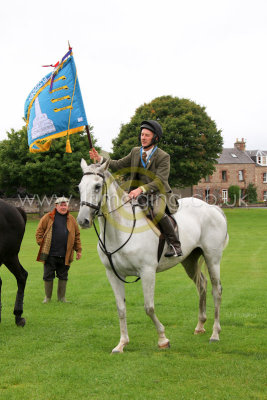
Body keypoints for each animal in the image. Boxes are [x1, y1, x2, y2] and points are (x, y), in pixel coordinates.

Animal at [76, 159, 229, 354]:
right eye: (80, 187)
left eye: (97, 186)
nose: (82, 220)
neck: (120, 231)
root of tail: (212, 208)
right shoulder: (112, 274)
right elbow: (121, 308)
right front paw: (122, 343)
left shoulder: (147, 272)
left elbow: (149, 307)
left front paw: (163, 339)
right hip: (189, 260)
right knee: (201, 285)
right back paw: (200, 326)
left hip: (212, 258)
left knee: (217, 290)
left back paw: (215, 334)